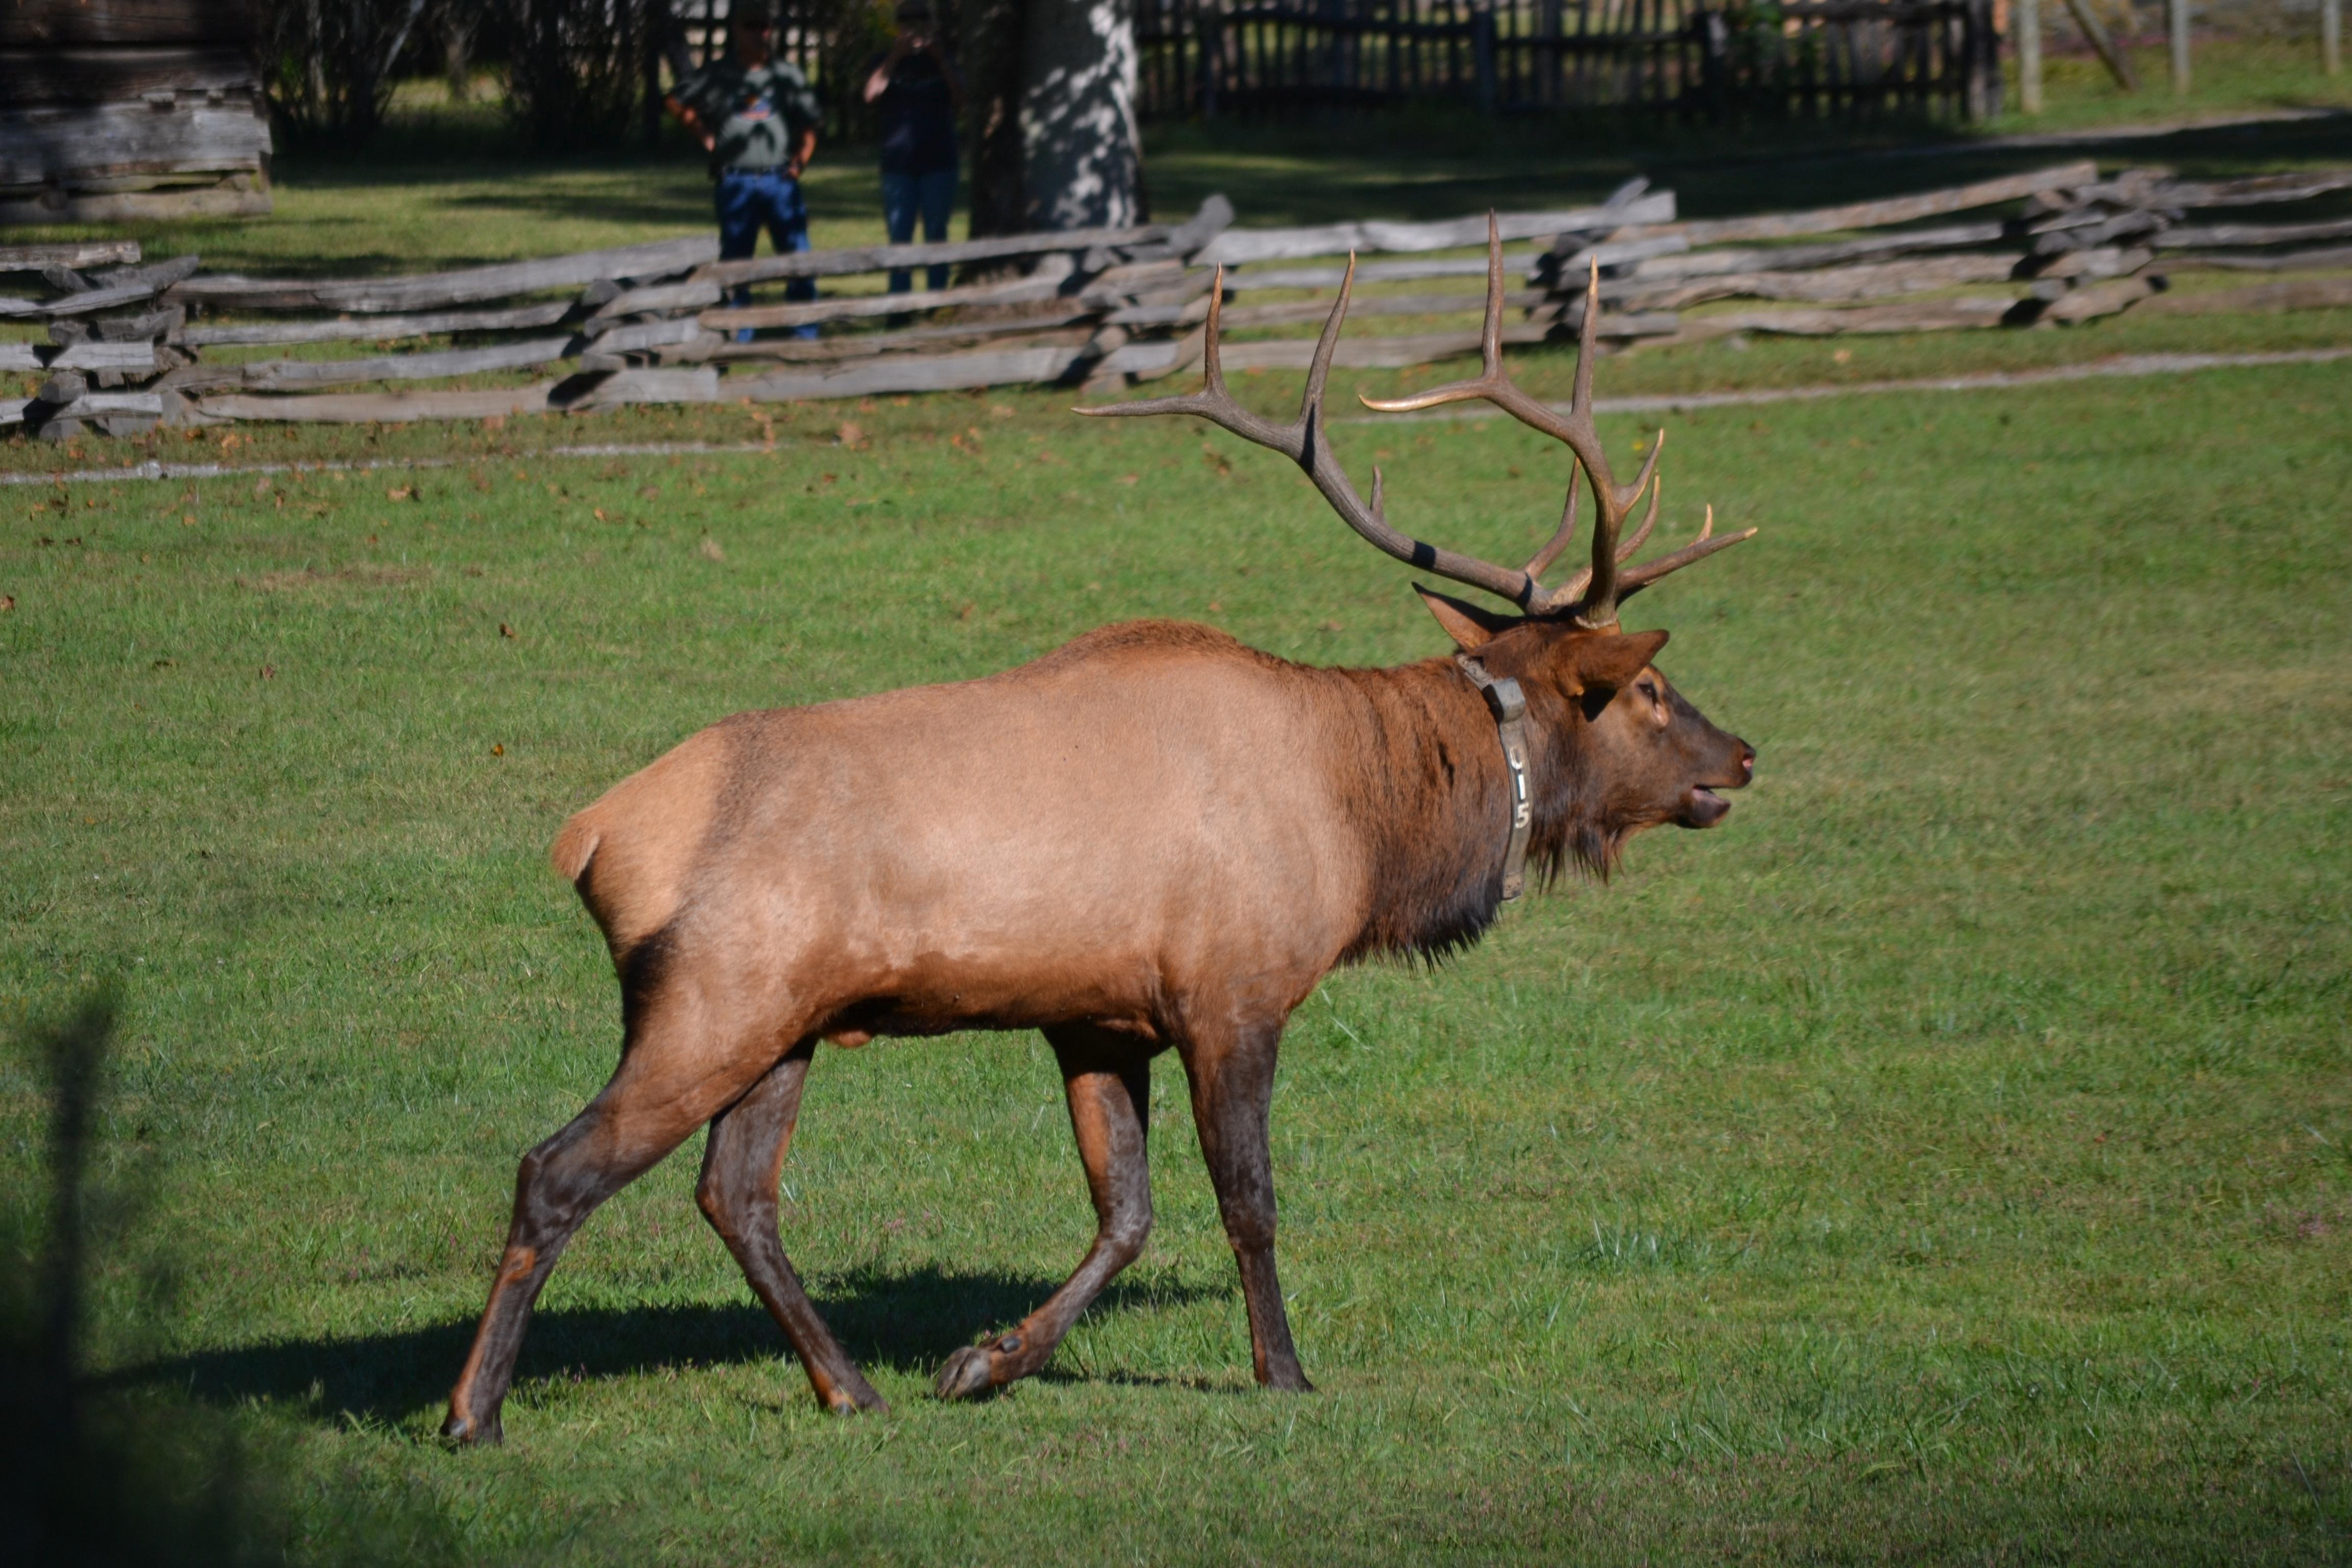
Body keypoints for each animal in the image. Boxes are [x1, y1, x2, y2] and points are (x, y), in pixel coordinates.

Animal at [440, 219, 1757, 1444]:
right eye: (1646, 692)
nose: (1740, 755)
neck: (1372, 829)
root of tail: (591, 836)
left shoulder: (1099, 1013)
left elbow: (1125, 1213)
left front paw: (983, 1360)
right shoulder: (1234, 991)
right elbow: (1247, 1200)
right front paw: (1284, 1371)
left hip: (783, 1024)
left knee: (737, 1196)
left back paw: (851, 1385)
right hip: (714, 1001)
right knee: (557, 1169)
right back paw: (474, 1412)